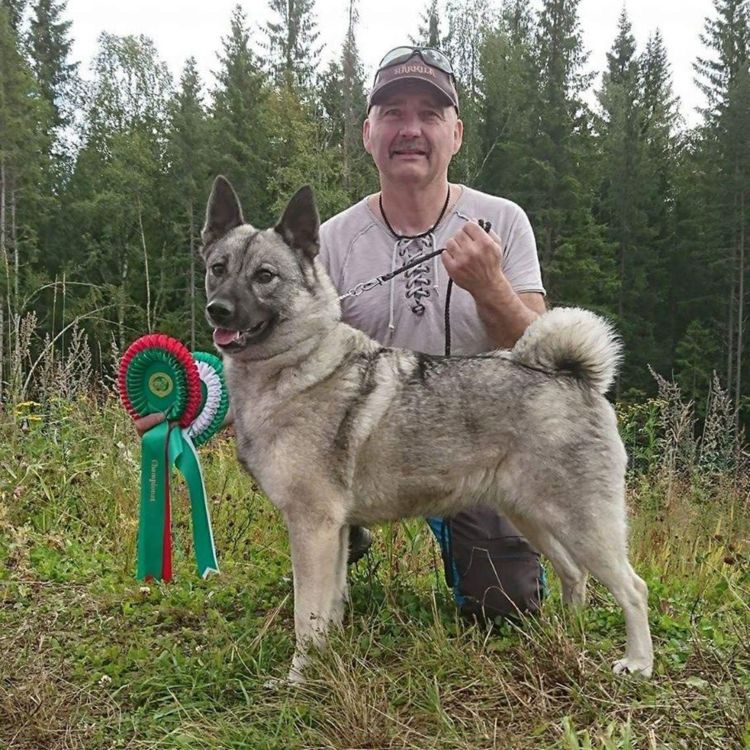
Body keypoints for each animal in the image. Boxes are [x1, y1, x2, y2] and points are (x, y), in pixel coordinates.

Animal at [203, 178, 656, 688]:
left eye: (265, 276)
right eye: (218, 268)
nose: (218, 310)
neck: (296, 364)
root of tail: (573, 376)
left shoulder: (312, 526)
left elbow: (308, 616)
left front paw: (300, 678)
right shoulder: (334, 533)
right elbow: (330, 608)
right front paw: (326, 661)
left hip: (583, 521)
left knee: (632, 588)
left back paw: (638, 662)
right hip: (533, 515)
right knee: (573, 574)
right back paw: (563, 635)